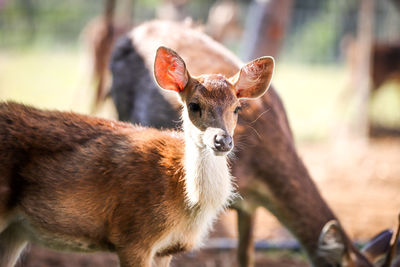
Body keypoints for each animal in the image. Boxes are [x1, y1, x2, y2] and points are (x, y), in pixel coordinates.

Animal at [0, 47, 274, 266]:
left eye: (237, 108)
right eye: (194, 105)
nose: (222, 140)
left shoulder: (167, 250)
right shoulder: (133, 236)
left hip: (16, 231)